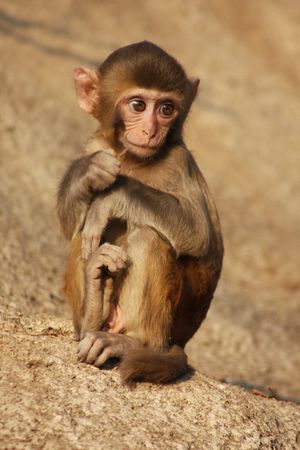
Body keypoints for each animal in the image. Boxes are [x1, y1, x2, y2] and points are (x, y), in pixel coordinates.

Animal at [57, 41, 224, 384]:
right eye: (137, 105)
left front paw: (111, 197)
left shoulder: (177, 161)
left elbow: (198, 233)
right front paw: (87, 171)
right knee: (84, 233)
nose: (151, 131)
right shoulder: (97, 143)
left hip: (176, 322)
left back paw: (134, 342)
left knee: (148, 235)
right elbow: (69, 224)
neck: (134, 160)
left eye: (166, 109)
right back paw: (93, 307)